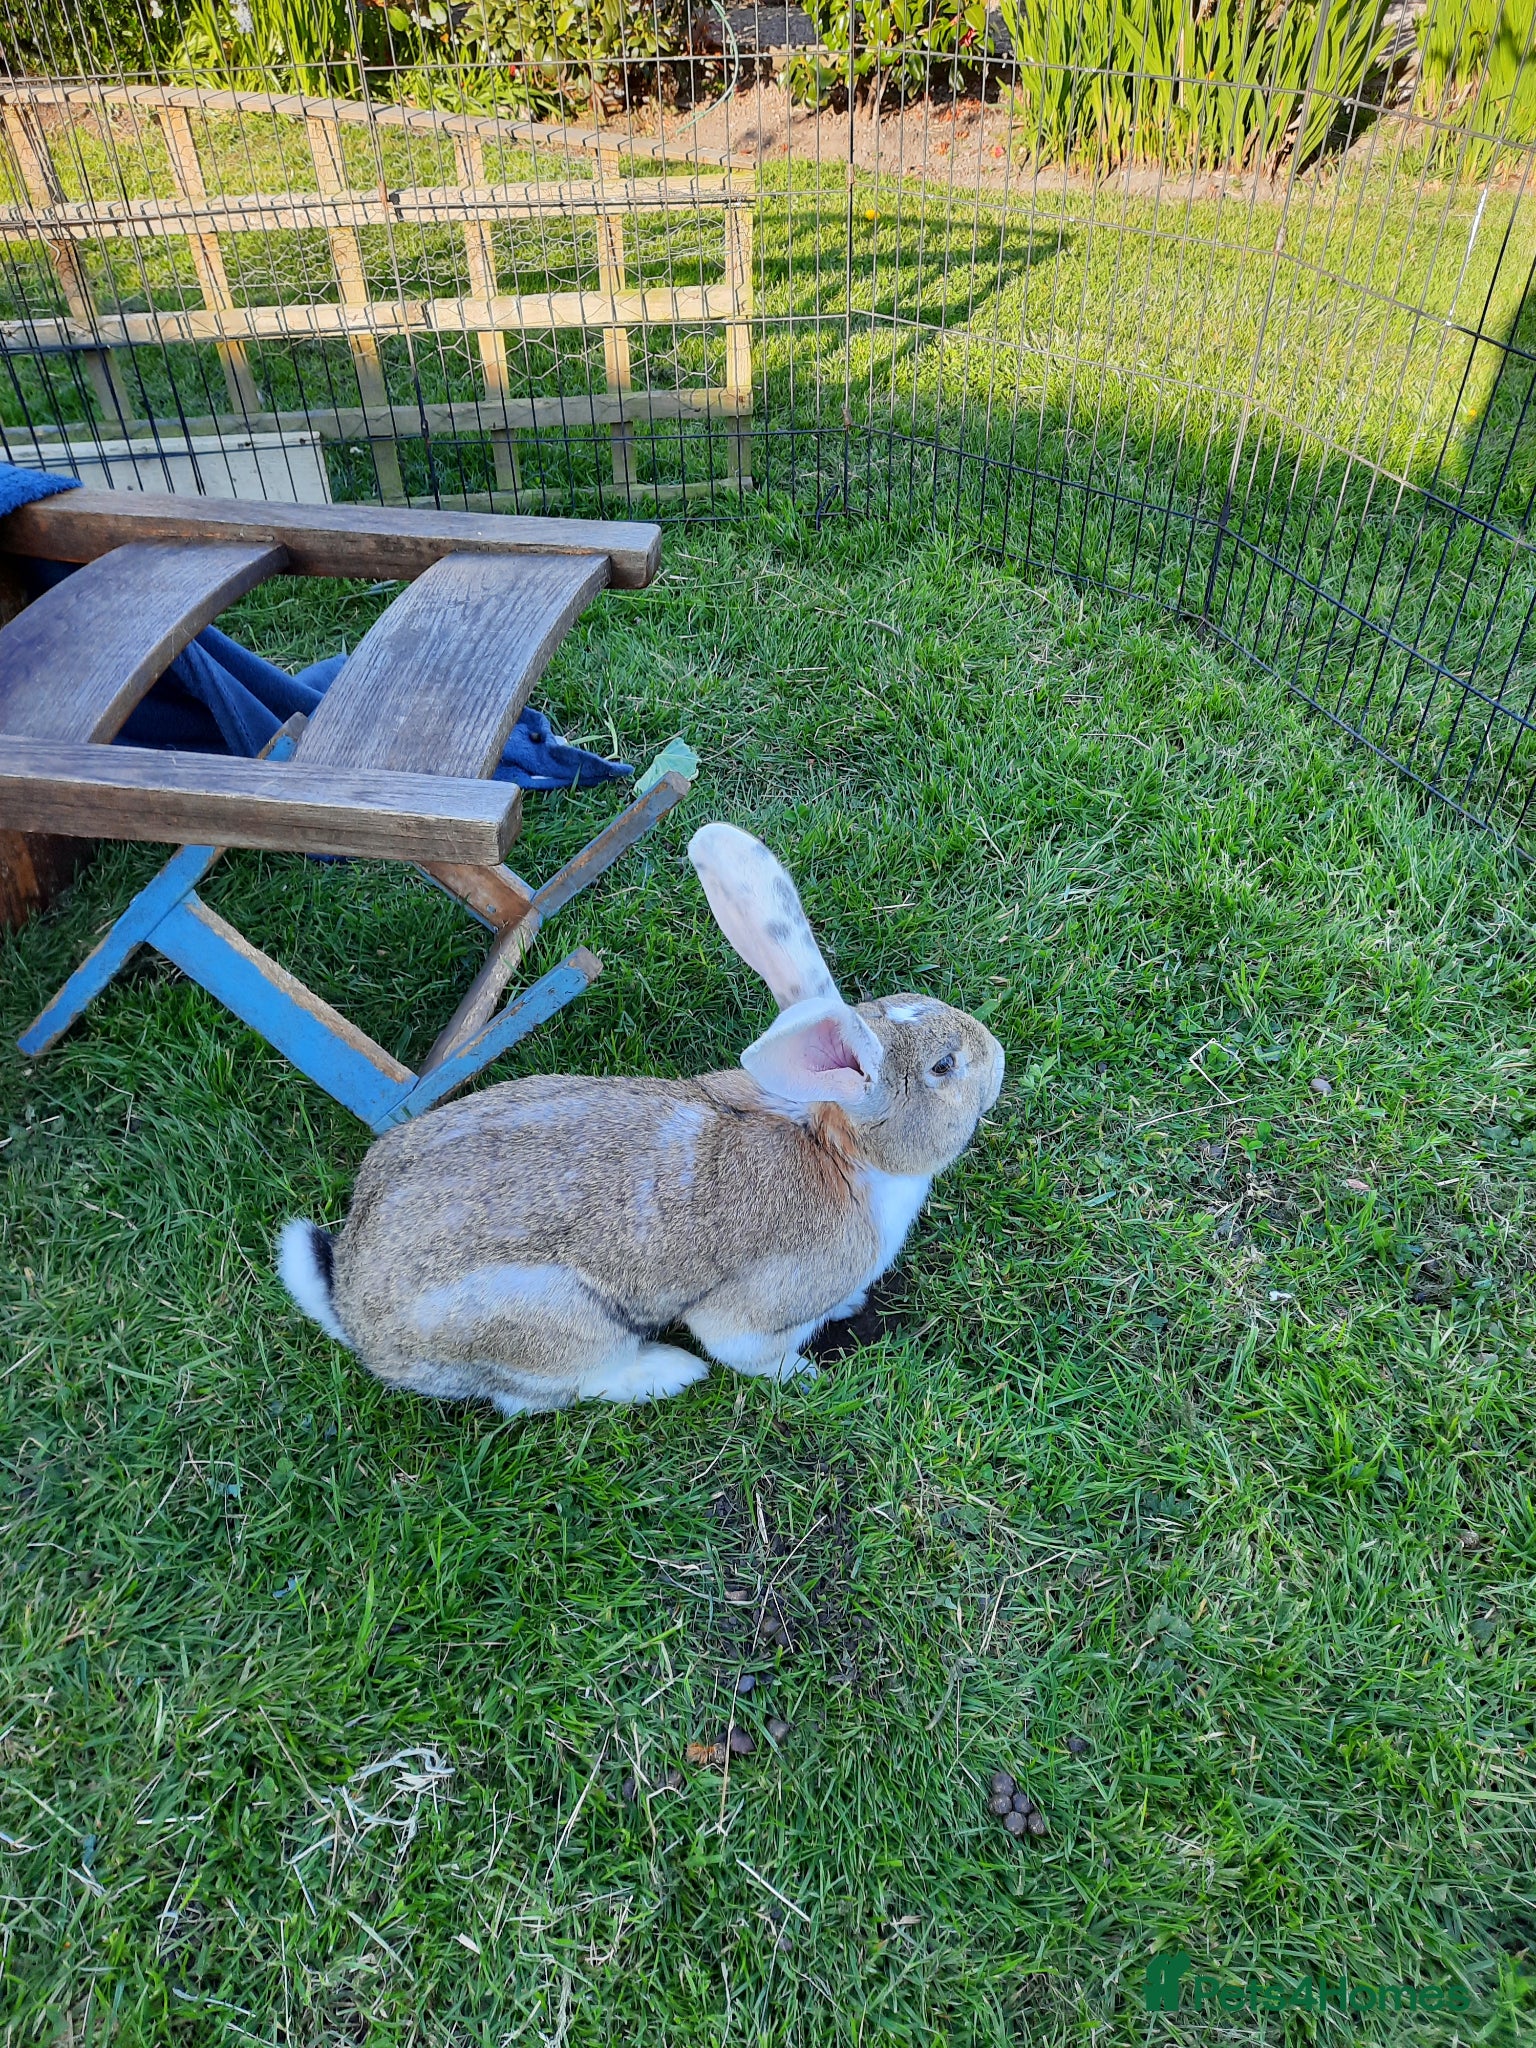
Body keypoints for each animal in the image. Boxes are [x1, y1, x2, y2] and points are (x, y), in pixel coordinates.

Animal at [277, 822, 1004, 1415]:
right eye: (944, 1067)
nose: (996, 1056)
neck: (843, 1153)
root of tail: (358, 1322)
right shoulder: (751, 1312)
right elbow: (744, 1350)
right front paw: (804, 1376)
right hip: (551, 1327)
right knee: (558, 1388)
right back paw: (667, 1371)